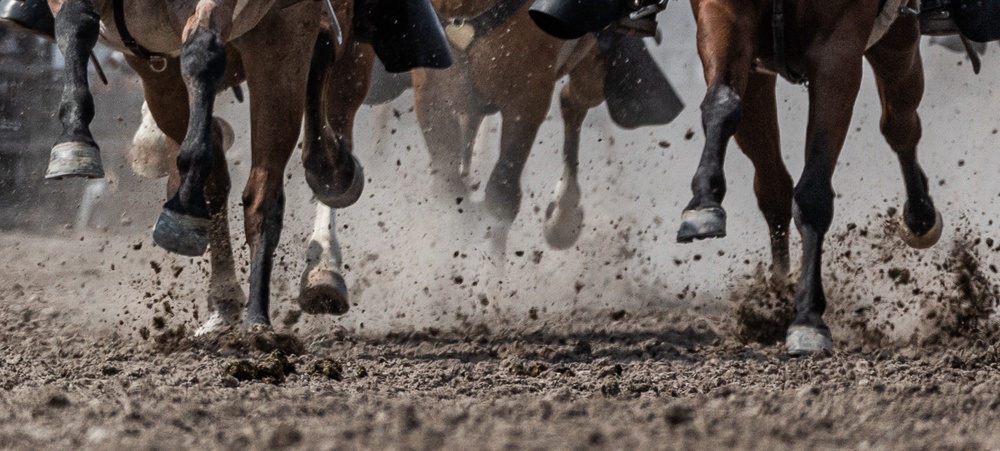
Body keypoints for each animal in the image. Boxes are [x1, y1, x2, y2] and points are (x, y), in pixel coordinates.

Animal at [676, 0, 940, 354]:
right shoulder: (723, 13)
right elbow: (722, 103)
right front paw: (703, 204)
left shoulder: (838, 50)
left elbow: (813, 194)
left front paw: (808, 318)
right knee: (773, 186)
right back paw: (775, 292)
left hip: (898, 39)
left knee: (900, 124)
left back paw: (920, 216)